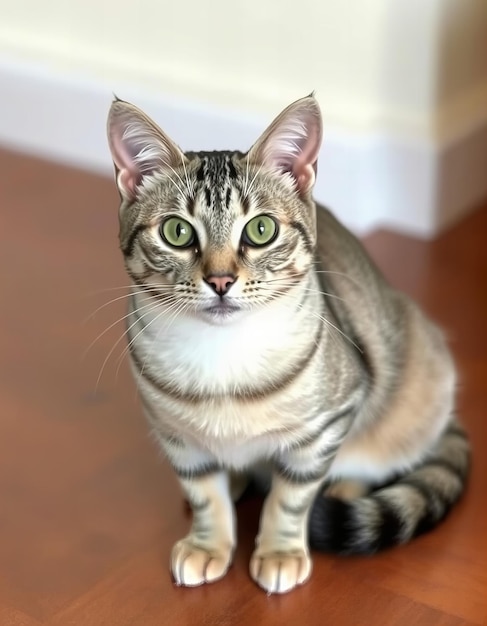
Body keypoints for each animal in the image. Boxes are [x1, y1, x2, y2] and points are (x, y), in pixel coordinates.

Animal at [106, 91, 468, 588]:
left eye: (261, 230)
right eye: (176, 232)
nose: (221, 280)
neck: (223, 358)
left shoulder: (329, 421)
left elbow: (290, 498)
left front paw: (279, 550)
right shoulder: (174, 433)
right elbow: (204, 493)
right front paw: (208, 543)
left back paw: (339, 488)